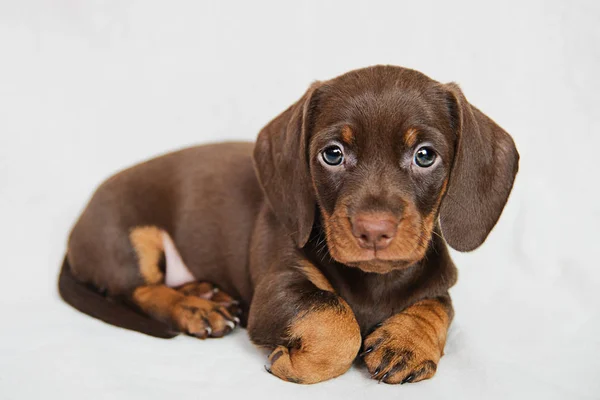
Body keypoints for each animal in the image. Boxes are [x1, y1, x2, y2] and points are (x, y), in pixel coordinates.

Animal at [58, 65, 516, 384]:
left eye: (425, 155)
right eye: (332, 154)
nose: (373, 231)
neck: (373, 281)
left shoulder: (440, 283)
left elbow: (438, 307)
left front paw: (407, 342)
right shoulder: (278, 287)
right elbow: (335, 318)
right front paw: (298, 363)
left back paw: (202, 291)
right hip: (130, 237)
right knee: (138, 290)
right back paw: (193, 307)